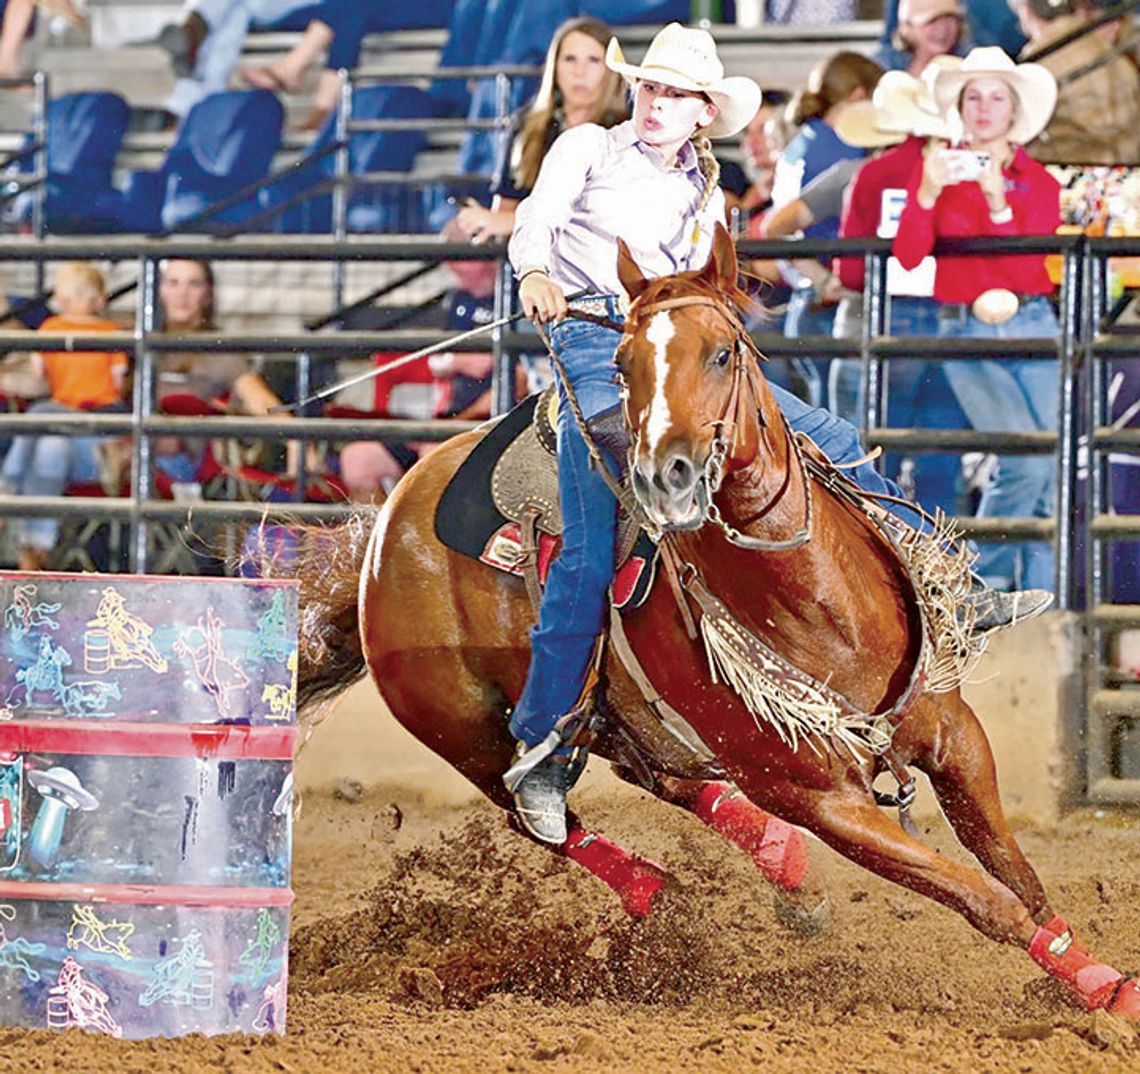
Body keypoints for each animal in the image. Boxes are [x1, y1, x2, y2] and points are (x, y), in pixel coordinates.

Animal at [291, 226, 1140, 1016]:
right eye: (625, 364)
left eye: (725, 353)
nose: (666, 475)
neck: (822, 611)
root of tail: (385, 525)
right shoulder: (823, 801)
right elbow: (983, 897)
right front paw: (1102, 991)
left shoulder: (954, 736)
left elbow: (1015, 871)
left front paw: (1091, 978)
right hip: (462, 726)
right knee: (539, 815)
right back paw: (652, 886)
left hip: (620, 717)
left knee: (667, 778)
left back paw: (783, 867)